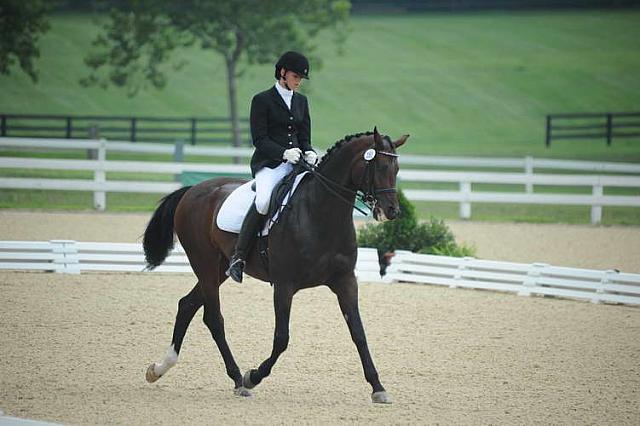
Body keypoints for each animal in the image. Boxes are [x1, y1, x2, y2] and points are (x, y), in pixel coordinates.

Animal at [142, 126, 408, 402]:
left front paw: (378, 387)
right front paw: (253, 376)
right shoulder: (284, 285)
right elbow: (281, 339)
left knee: (187, 305)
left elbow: (358, 333)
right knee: (213, 318)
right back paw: (238, 379)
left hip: (219, 269)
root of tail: (193, 189)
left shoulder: (345, 281)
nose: (392, 211)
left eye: (397, 169)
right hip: (203, 263)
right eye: (380, 166)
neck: (320, 213)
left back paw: (159, 369)